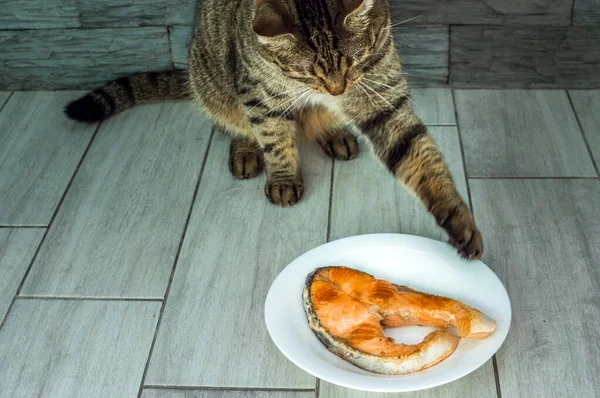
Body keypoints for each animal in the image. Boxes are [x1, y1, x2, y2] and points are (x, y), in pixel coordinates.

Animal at [64, 0, 482, 258]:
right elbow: (274, 139)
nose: (336, 89)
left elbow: (420, 157)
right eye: (308, 72)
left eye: (354, 61)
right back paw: (247, 150)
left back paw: (333, 133)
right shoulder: (258, 96)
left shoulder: (381, 94)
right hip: (213, 82)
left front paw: (458, 219)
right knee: (237, 124)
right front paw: (282, 177)